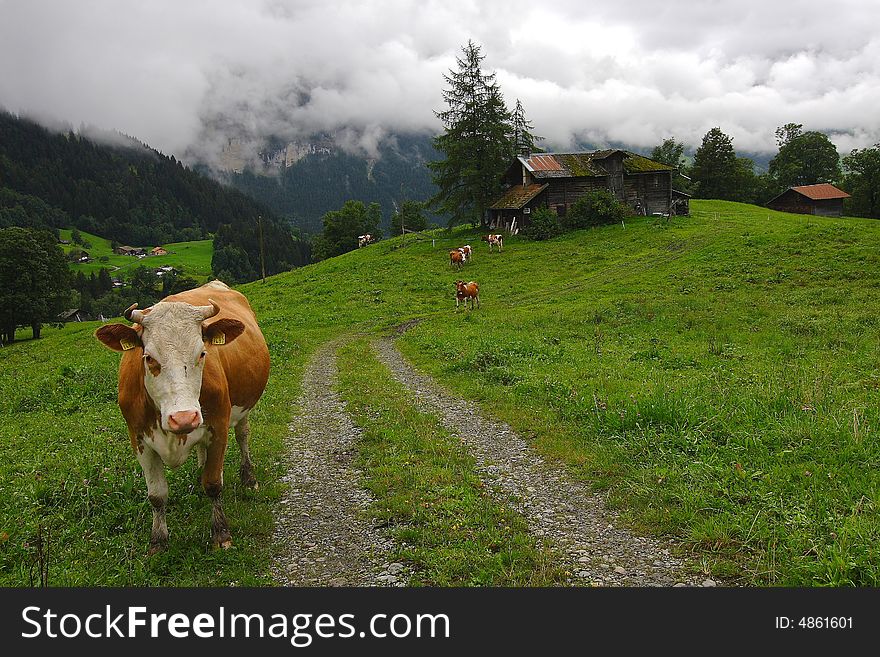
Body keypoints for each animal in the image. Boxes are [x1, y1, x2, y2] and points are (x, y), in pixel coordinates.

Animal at [93, 280, 270, 552]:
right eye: (149, 358)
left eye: (202, 353)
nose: (184, 418)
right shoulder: (139, 440)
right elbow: (156, 495)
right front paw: (158, 540)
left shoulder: (218, 428)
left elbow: (213, 484)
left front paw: (221, 532)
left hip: (243, 409)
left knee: (242, 436)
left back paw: (249, 478)